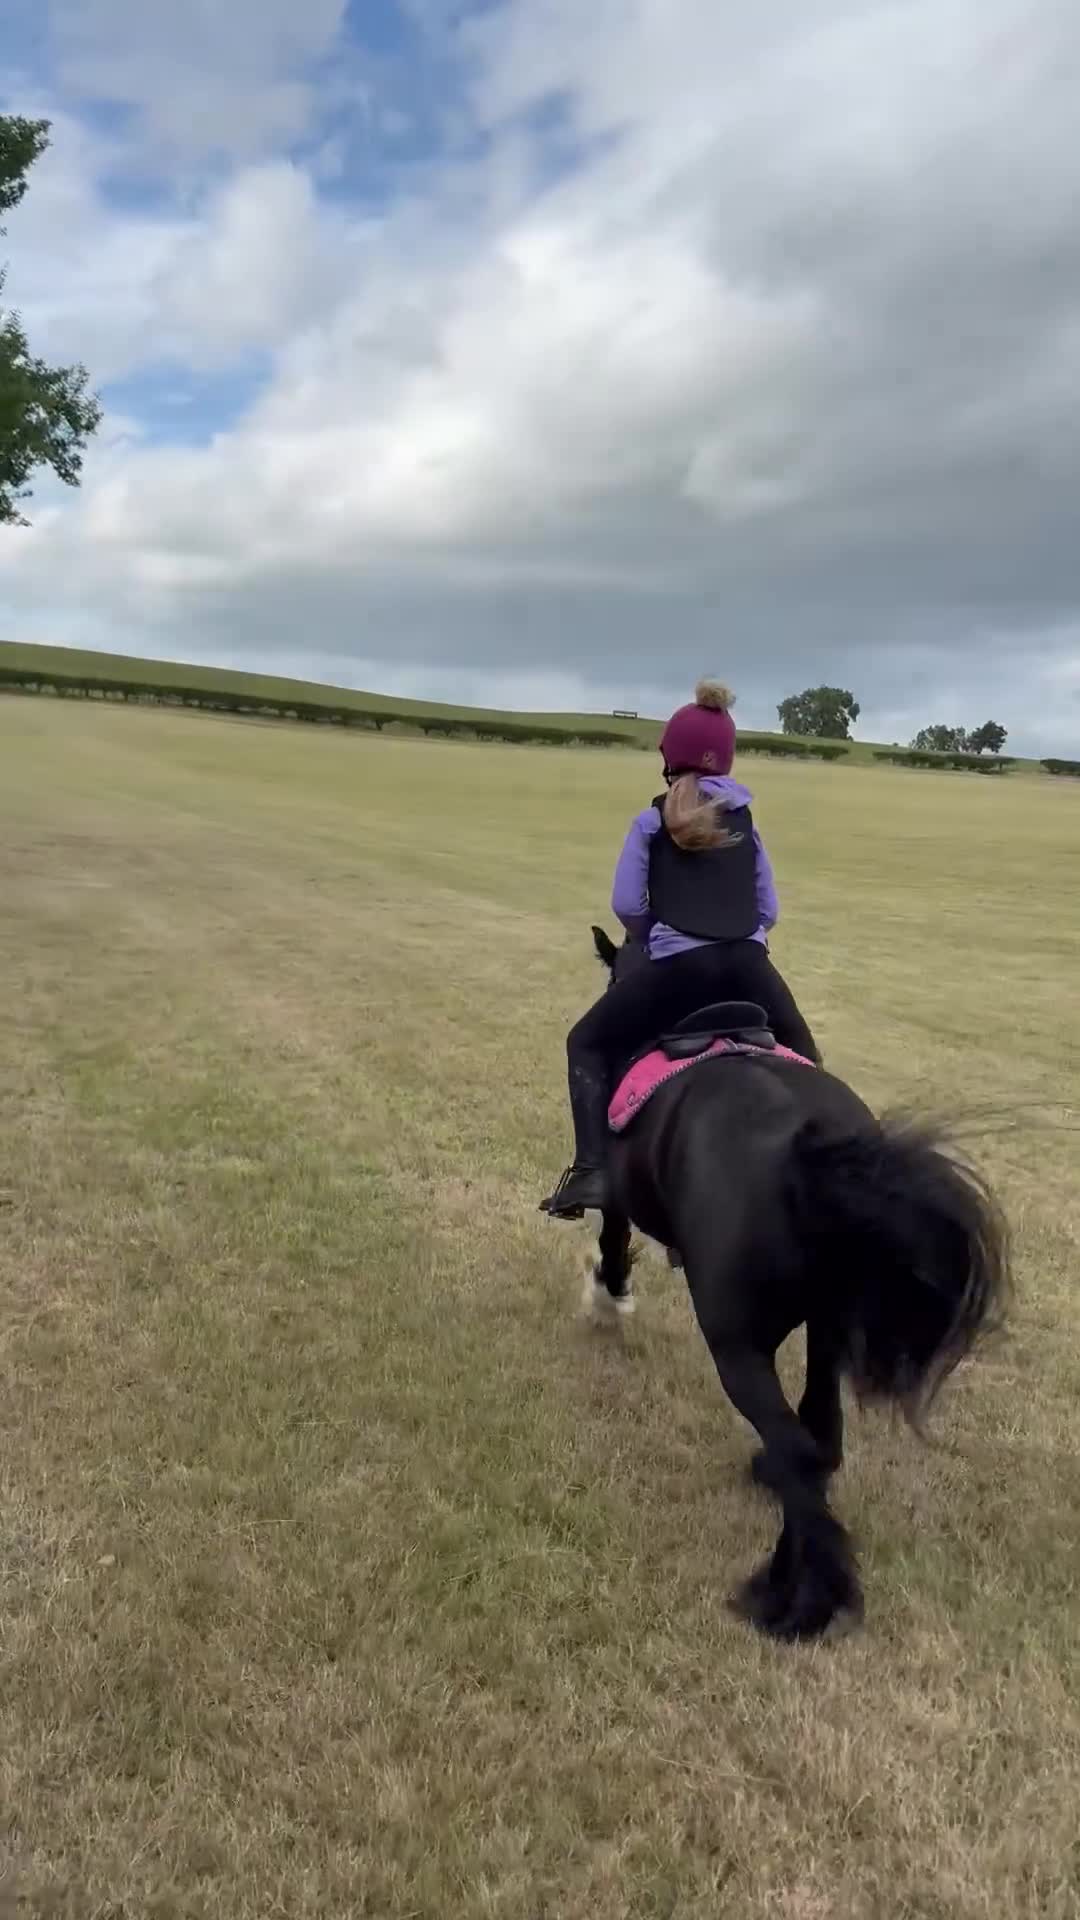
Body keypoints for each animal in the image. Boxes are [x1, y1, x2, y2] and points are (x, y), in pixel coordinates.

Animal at [580, 925, 1009, 1641]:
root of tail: (805, 1154)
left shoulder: (615, 1191)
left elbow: (611, 1237)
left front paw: (607, 1298)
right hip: (829, 1321)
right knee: (818, 1440)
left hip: (737, 1344)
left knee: (797, 1452)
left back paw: (790, 1598)